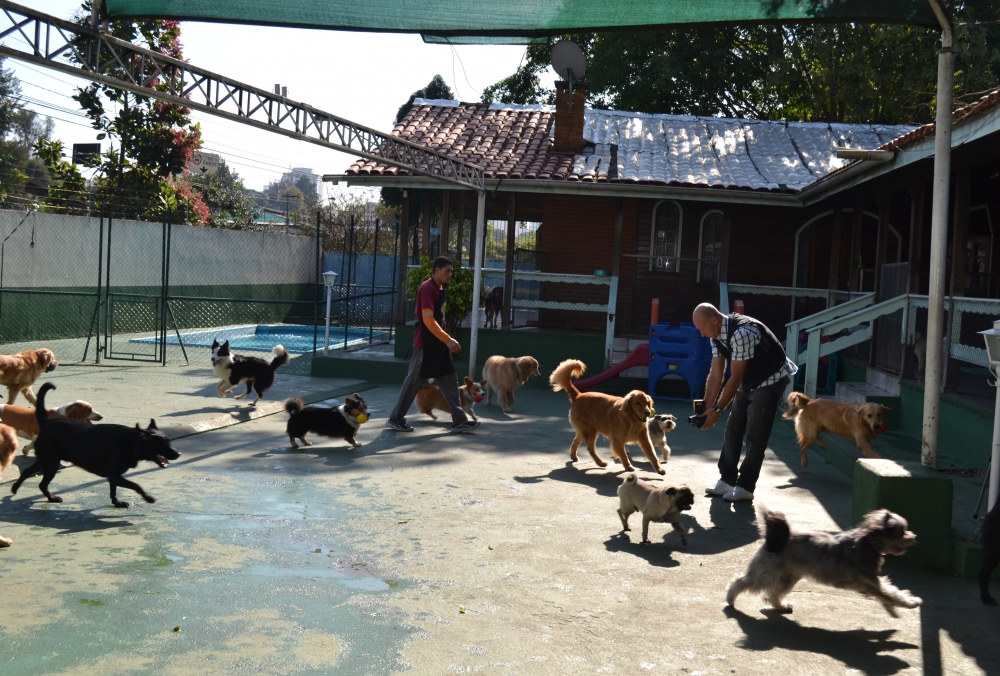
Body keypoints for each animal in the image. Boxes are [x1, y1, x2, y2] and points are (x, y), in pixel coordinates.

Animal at [728, 502, 920, 616]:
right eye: (902, 532)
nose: (914, 537)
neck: (868, 544)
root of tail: (775, 538)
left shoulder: (871, 584)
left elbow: (887, 595)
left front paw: (892, 610)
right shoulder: (870, 581)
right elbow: (892, 593)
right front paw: (911, 602)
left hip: (788, 578)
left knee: (773, 594)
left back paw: (781, 606)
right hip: (766, 573)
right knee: (741, 580)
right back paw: (730, 598)